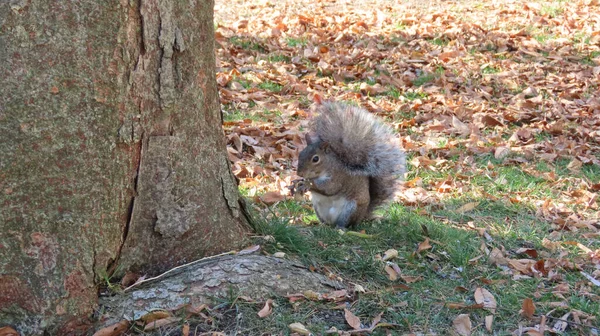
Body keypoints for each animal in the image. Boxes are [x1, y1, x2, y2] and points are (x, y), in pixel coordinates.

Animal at [292, 101, 406, 230]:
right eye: (301, 153)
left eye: (315, 159)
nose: (299, 173)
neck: (326, 167)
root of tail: (362, 216)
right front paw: (299, 182)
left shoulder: (338, 177)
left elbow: (329, 188)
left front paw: (308, 184)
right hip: (318, 208)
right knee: (326, 222)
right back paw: (323, 226)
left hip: (351, 209)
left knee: (346, 223)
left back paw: (340, 228)